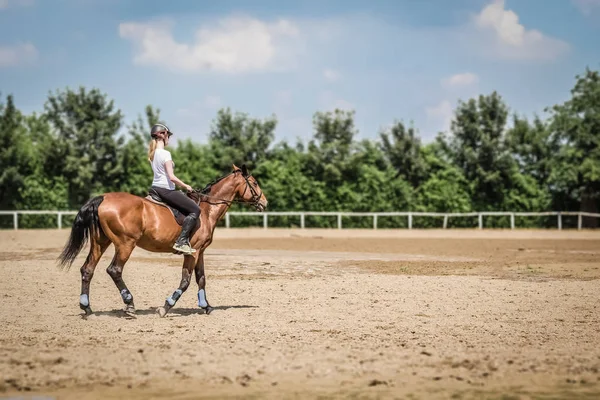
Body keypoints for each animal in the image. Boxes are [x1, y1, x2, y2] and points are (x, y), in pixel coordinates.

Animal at [56, 164, 268, 318]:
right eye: (255, 182)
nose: (265, 203)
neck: (207, 210)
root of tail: (102, 198)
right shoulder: (192, 252)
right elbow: (185, 281)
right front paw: (166, 306)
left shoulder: (199, 251)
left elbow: (201, 279)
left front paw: (206, 306)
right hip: (125, 244)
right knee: (114, 270)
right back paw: (129, 305)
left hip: (101, 242)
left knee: (87, 269)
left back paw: (87, 308)